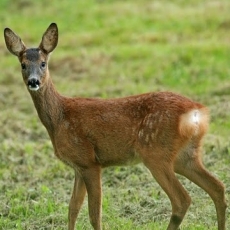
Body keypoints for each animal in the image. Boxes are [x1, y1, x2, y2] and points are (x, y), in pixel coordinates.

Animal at [3, 22, 226, 230]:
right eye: (23, 65)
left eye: (43, 63)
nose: (33, 81)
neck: (60, 118)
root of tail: (197, 111)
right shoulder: (78, 166)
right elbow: (72, 208)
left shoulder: (89, 162)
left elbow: (94, 214)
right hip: (185, 155)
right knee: (217, 186)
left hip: (156, 153)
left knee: (182, 199)